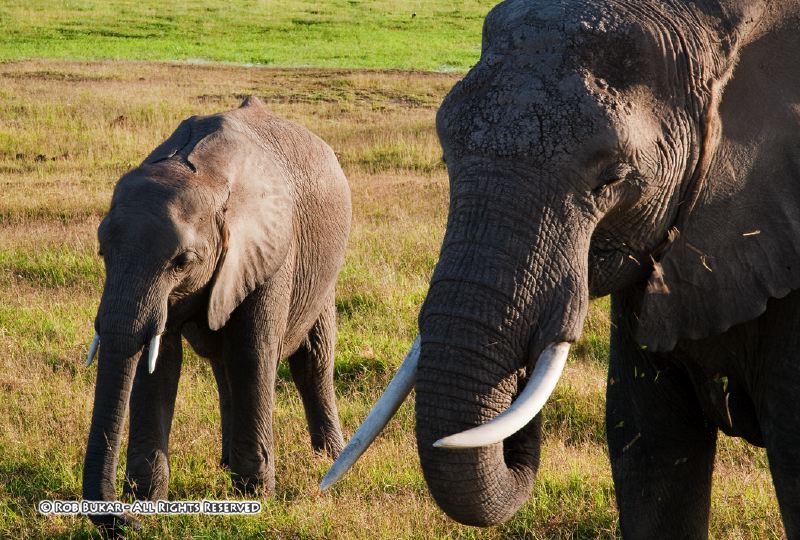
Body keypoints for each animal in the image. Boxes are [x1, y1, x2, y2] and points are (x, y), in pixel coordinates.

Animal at [80, 96, 350, 532]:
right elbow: (158, 361)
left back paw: (324, 458)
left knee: (310, 361)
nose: (127, 522)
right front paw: (147, 502)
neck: (204, 175)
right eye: (103, 252)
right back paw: (227, 464)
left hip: (323, 273)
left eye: (183, 261)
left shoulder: (269, 251)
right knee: (223, 365)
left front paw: (256, 496)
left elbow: (253, 353)